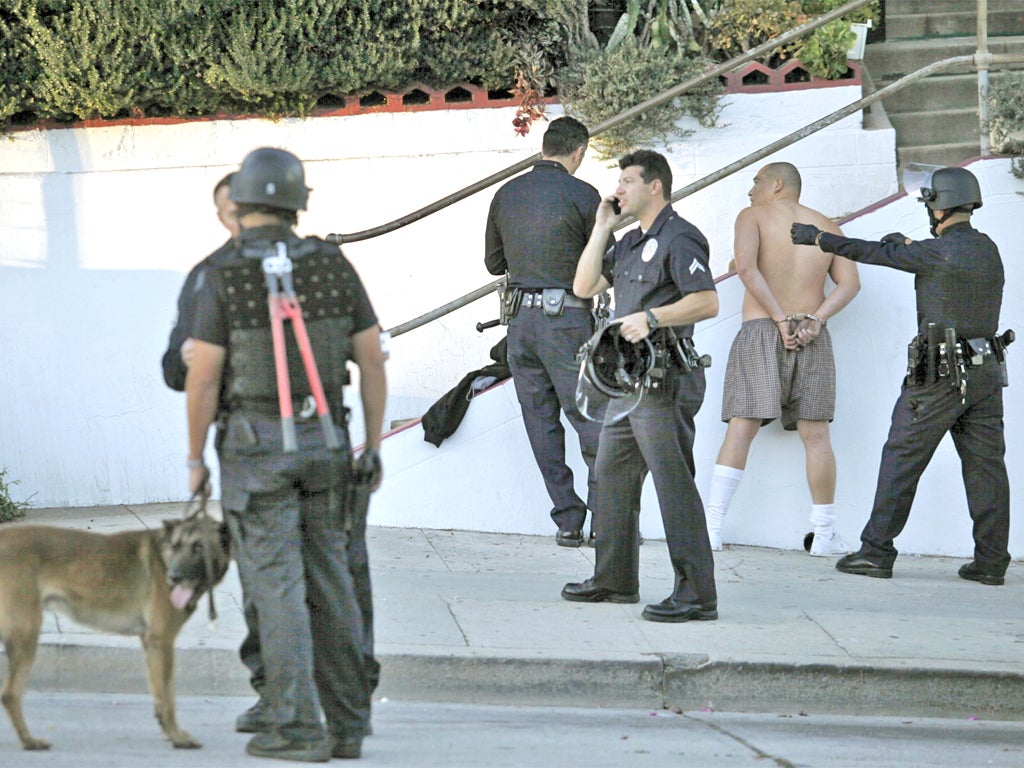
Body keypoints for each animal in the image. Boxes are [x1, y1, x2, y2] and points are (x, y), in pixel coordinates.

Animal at [0, 512, 230, 753]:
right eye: (176, 546)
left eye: (199, 547)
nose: (173, 577)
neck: (165, 556)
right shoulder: (162, 641)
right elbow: (168, 698)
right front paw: (177, 737)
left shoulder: (150, 644)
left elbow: (159, 695)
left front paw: (168, 732)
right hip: (26, 633)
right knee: (10, 694)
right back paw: (29, 741)